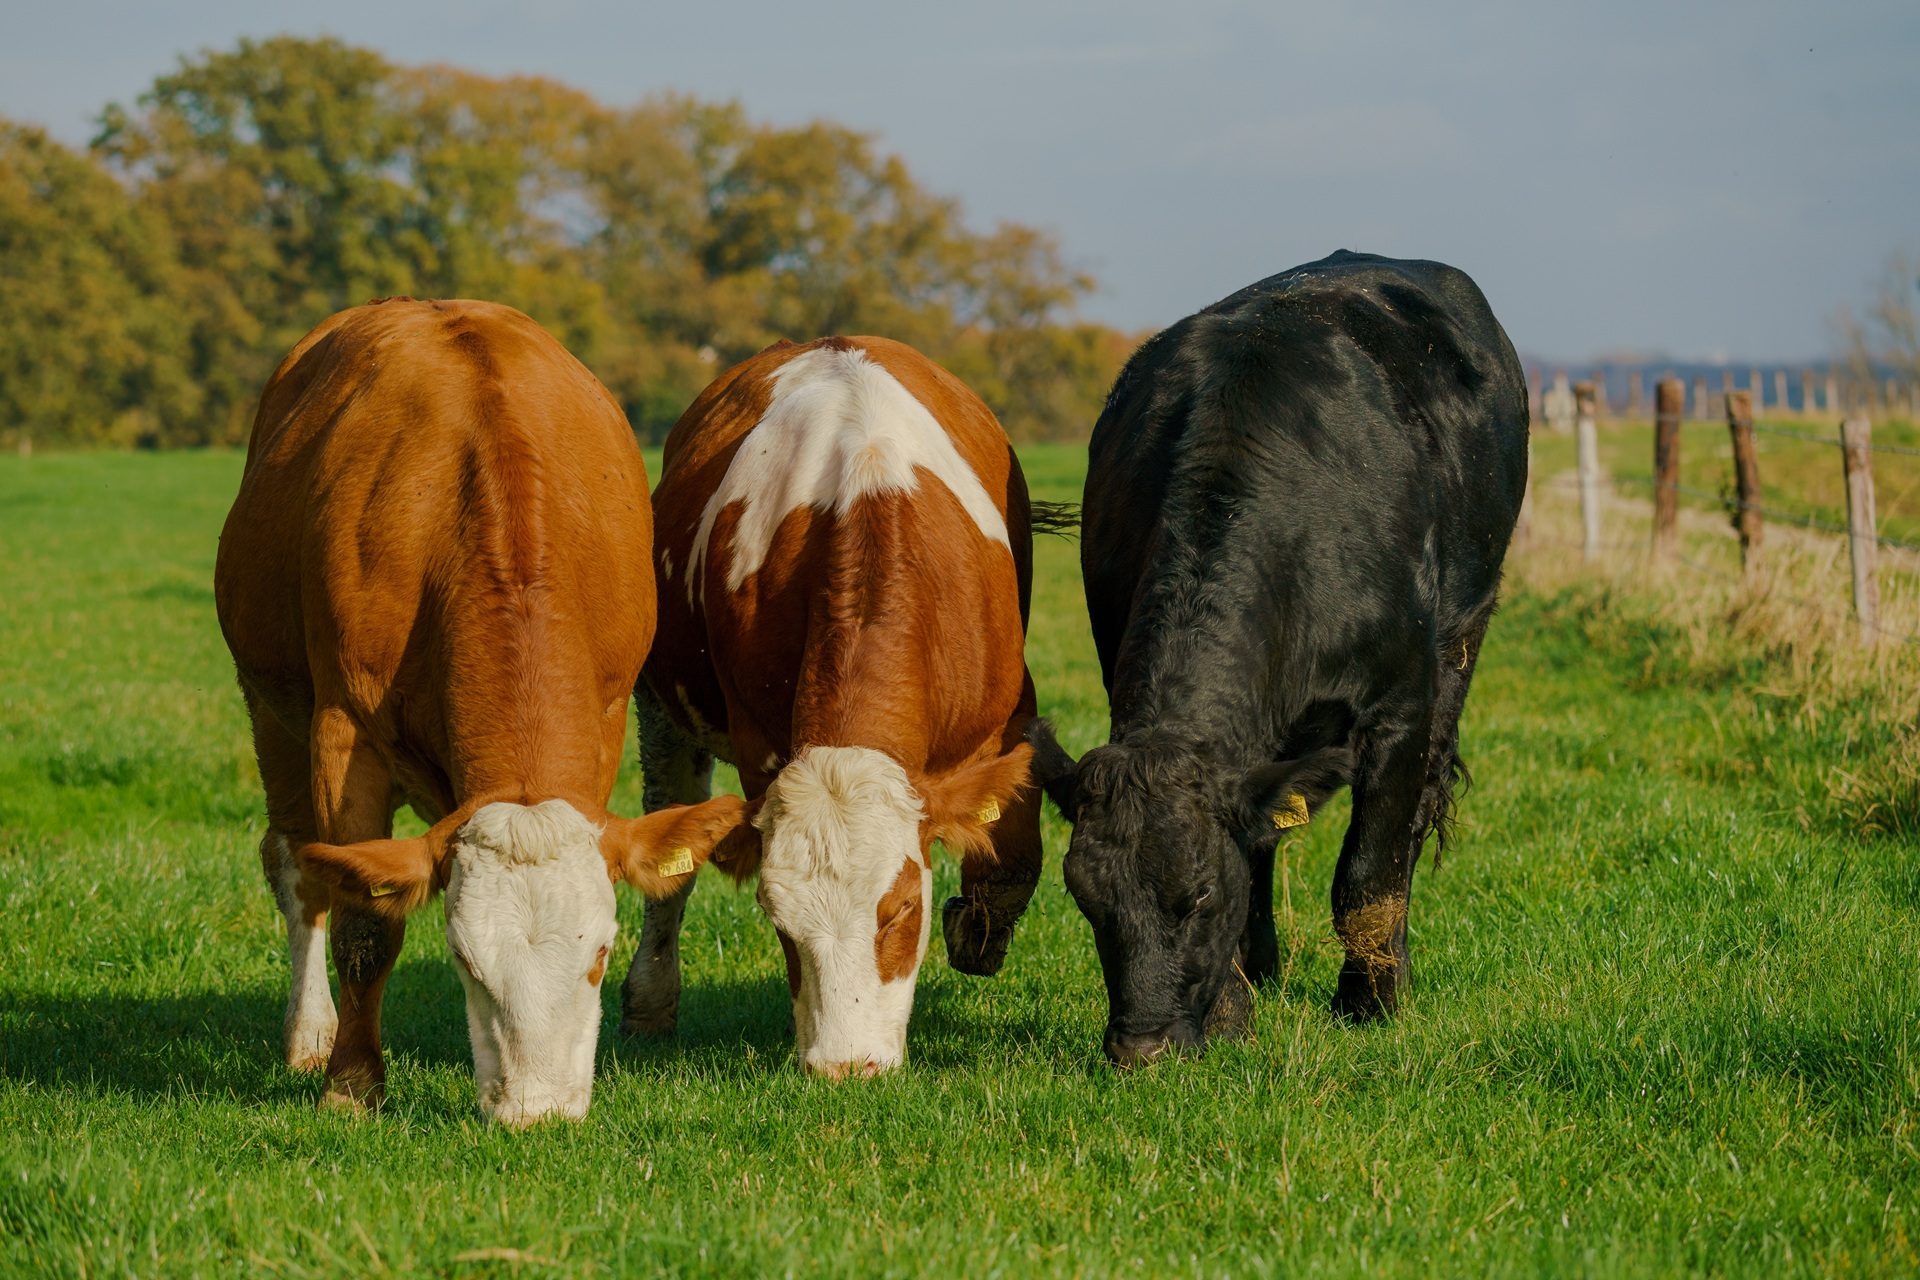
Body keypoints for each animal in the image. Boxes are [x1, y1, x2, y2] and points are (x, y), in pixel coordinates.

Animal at [214, 299, 747, 1124]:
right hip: (270, 705)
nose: (536, 1112)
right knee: (297, 866)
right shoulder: (342, 732)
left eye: (601, 953)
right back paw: (308, 1034)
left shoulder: (606, 717)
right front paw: (352, 1083)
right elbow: (364, 923)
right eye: (465, 960)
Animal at [622, 335, 1045, 1079]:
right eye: (781, 925)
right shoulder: (757, 745)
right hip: (662, 710)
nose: (845, 1068)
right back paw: (649, 1003)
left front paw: (980, 929)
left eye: (901, 910)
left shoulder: (1003, 719)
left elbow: (1010, 845)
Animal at [1026, 251, 1528, 1065]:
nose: (1141, 1048)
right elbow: (1254, 852)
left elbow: (1367, 877)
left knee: (1414, 821)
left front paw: (1371, 1006)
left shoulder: (1399, 704)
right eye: (1085, 898)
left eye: (1197, 894)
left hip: (1466, 632)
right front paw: (1235, 1014)